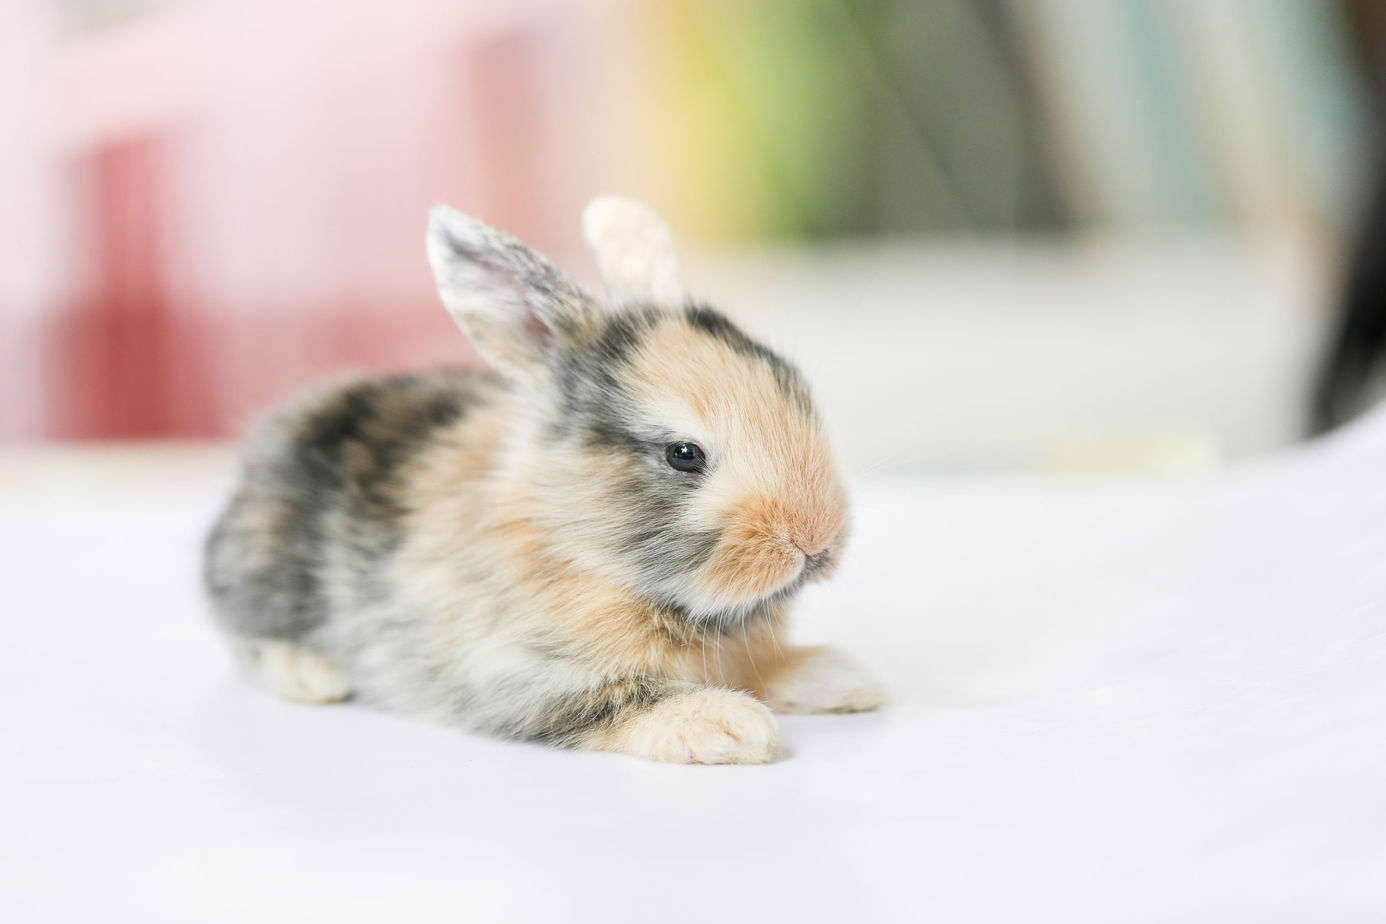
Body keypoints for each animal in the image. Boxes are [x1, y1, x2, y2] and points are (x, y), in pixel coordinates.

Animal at [204, 196, 883, 764]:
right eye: (684, 455)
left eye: (798, 392)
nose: (816, 541)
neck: (582, 547)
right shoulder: (522, 677)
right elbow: (619, 701)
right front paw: (732, 726)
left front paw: (843, 676)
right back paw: (311, 676)